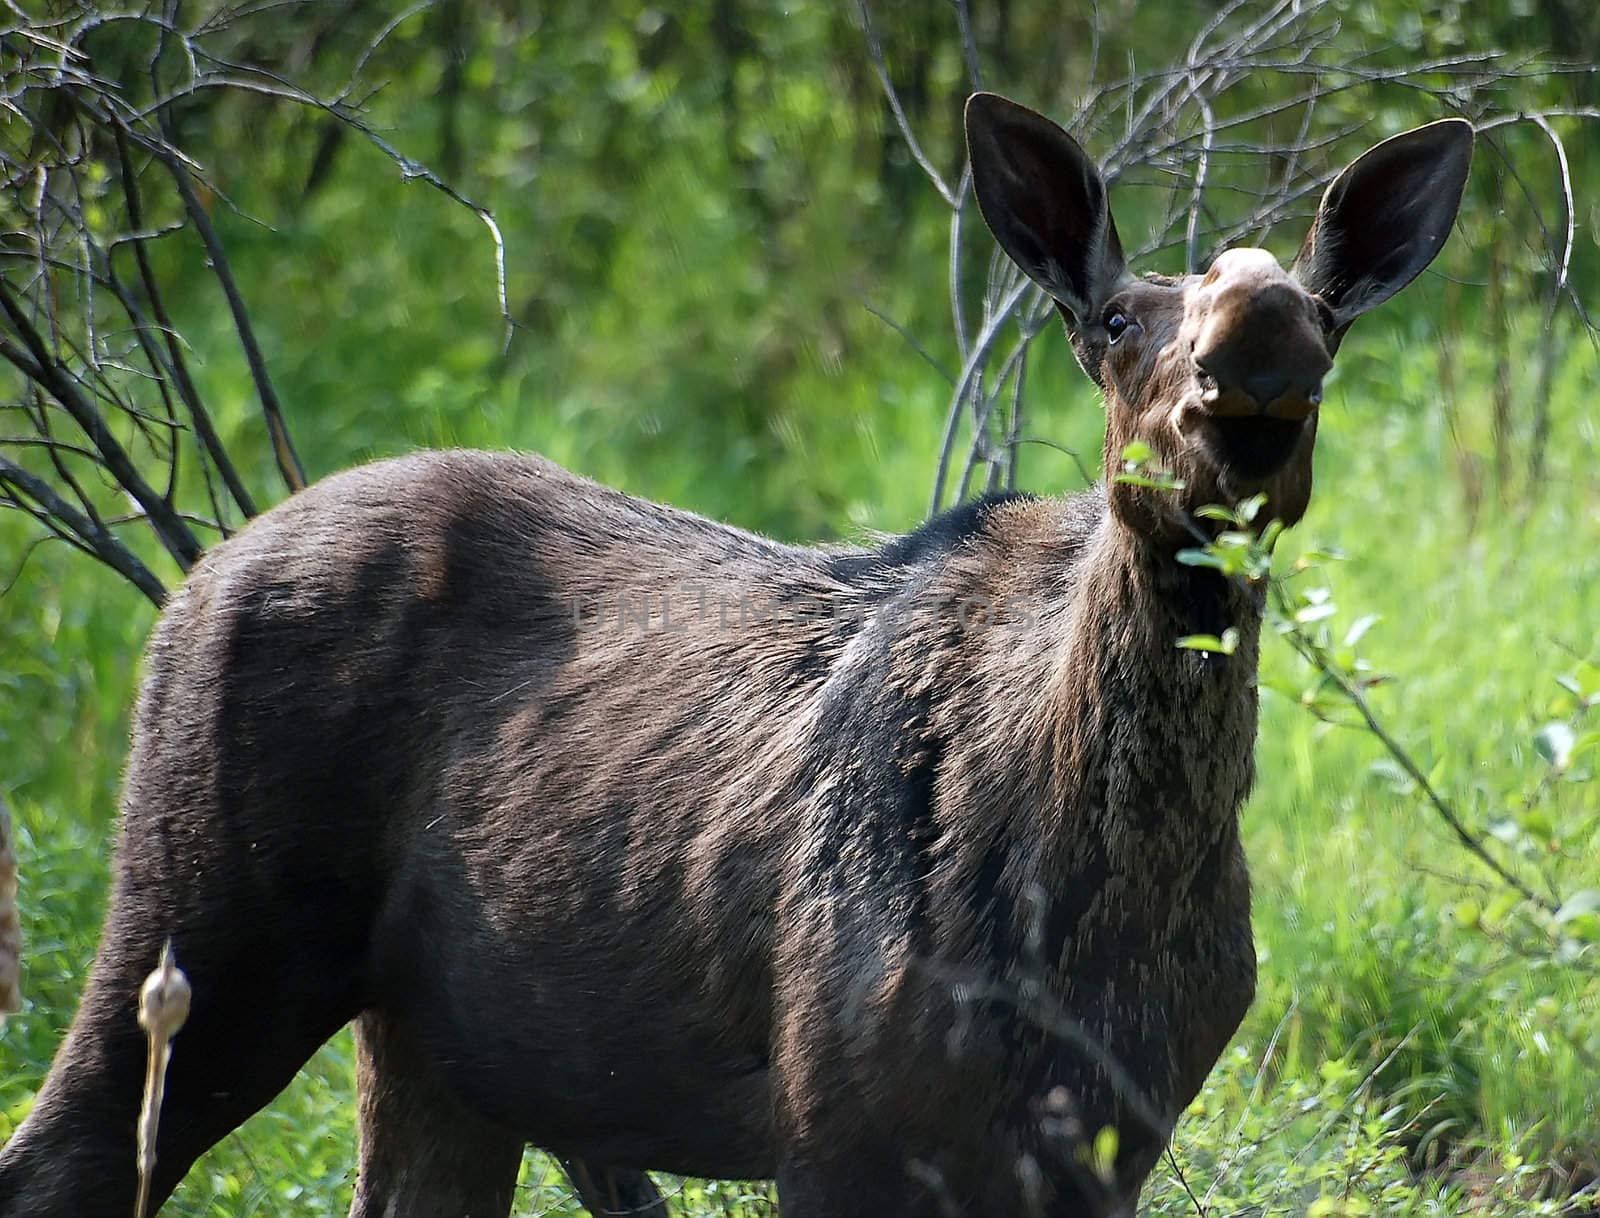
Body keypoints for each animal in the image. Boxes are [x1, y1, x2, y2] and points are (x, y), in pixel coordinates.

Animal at [0, 95, 1465, 1216]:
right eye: (1114, 320)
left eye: (1327, 317)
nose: (1259, 341)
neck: (1103, 893)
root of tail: (195, 578)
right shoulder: (839, 1130)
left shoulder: (1106, 1143)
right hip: (206, 928)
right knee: (53, 1158)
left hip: (432, 1046)